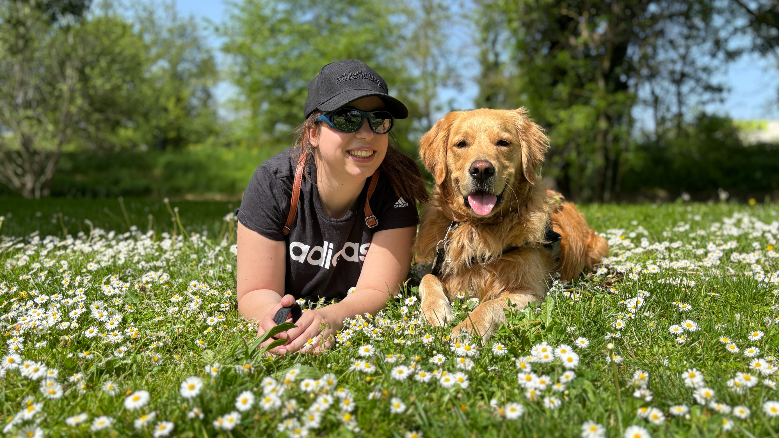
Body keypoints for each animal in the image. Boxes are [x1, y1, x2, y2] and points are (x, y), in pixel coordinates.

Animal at [414, 108, 608, 340]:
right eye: (461, 144)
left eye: (503, 143)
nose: (481, 169)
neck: (479, 229)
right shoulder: (440, 266)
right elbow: (427, 278)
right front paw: (436, 310)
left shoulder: (527, 292)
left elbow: (489, 306)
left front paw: (467, 330)